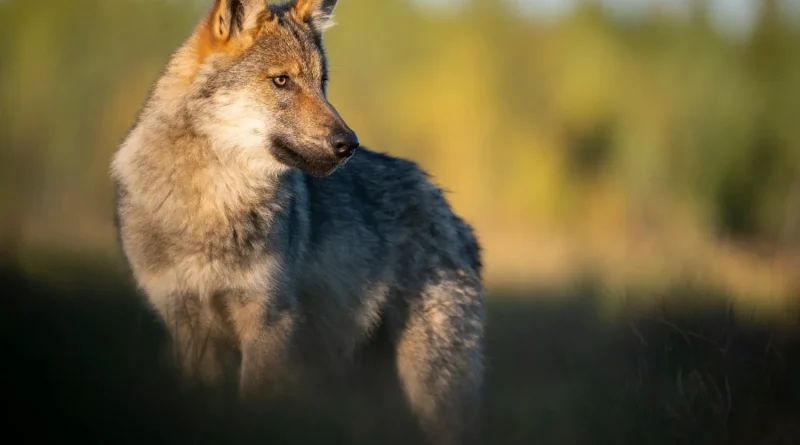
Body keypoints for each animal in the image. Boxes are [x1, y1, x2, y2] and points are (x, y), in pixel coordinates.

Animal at [110, 0, 485, 443]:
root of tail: (447, 206)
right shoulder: (188, 328)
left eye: (321, 83)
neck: (213, 204)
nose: (348, 145)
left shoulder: (268, 323)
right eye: (282, 80)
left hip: (431, 387)